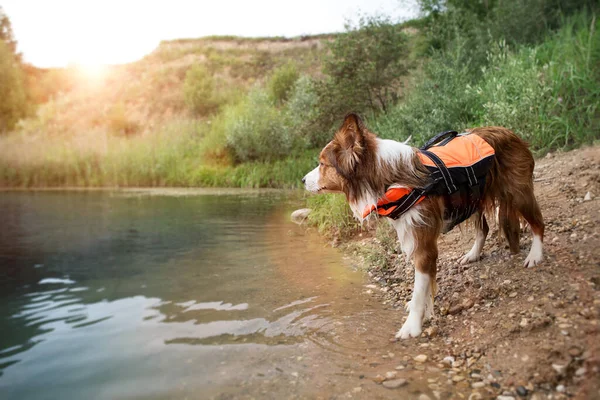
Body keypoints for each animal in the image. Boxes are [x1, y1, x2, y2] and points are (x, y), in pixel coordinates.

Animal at [302, 114, 548, 340]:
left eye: (322, 164)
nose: (303, 180)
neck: (387, 178)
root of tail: (508, 131)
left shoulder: (422, 240)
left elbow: (420, 287)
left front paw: (411, 326)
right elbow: (426, 284)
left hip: (518, 193)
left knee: (538, 223)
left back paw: (535, 255)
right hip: (474, 197)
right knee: (484, 229)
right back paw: (473, 254)